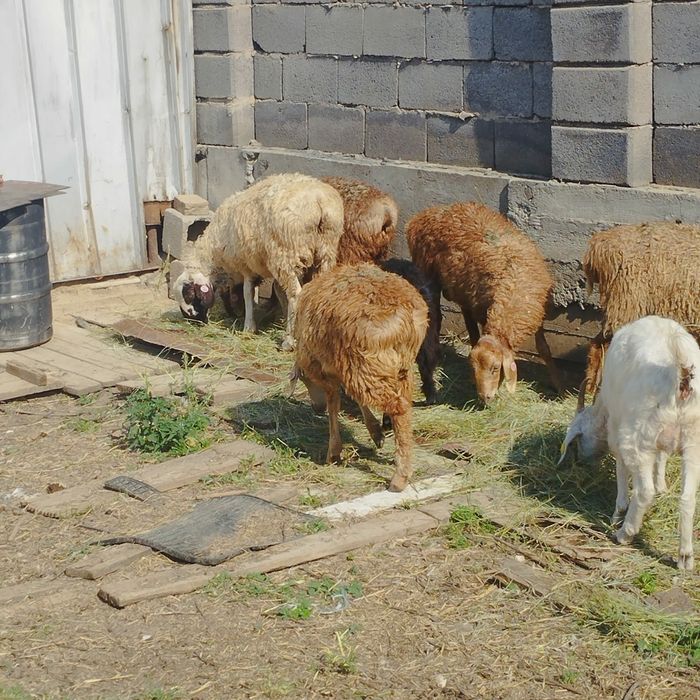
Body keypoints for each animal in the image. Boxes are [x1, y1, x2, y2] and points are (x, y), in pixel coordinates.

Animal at [172, 173, 344, 351]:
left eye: (189, 294)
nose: (196, 322)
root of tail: (318, 201)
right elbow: (278, 291)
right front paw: (284, 320)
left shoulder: (247, 265)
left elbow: (248, 293)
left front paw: (249, 327)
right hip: (325, 250)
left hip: (285, 252)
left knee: (295, 294)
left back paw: (288, 342)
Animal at [291, 263, 429, 492]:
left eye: (305, 381)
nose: (316, 408)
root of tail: (405, 318)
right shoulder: (345, 365)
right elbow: (354, 399)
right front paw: (375, 433)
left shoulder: (325, 369)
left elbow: (334, 402)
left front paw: (334, 452)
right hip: (396, 366)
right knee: (403, 405)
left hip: (365, 364)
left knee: (398, 407)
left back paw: (399, 477)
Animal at [406, 202, 562, 404]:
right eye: (474, 369)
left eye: (495, 368)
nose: (484, 398)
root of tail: (423, 215)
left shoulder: (537, 313)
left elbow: (544, 349)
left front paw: (558, 386)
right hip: (429, 276)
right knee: (439, 317)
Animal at [559, 315, 700, 570]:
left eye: (579, 438)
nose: (580, 461)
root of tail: (681, 374)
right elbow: (661, 458)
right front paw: (662, 485)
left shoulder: (617, 432)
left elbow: (621, 468)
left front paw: (617, 513)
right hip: (694, 441)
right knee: (687, 498)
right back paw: (685, 557)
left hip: (638, 436)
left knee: (644, 491)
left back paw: (625, 532)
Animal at [579, 222, 700, 410]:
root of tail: (601, 245)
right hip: (628, 304)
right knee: (608, 347)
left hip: (620, 307)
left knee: (597, 344)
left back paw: (590, 389)